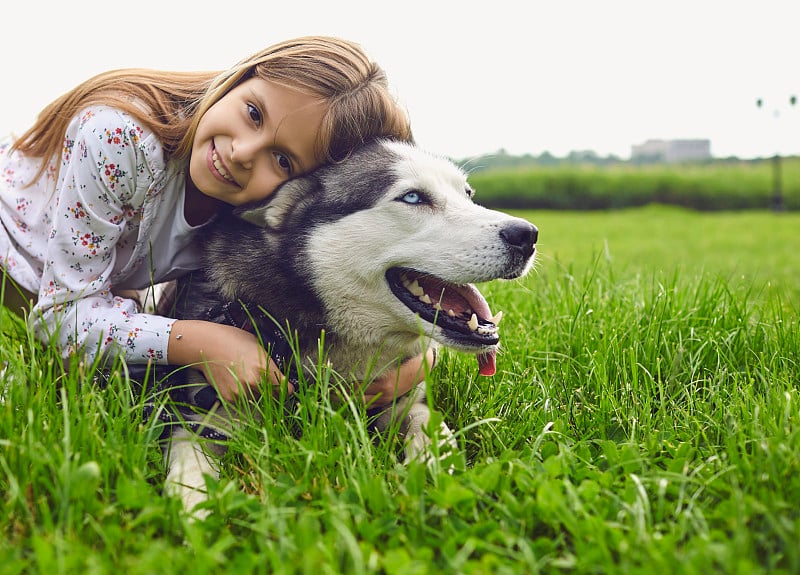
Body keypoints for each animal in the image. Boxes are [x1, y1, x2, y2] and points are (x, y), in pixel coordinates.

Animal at [161, 140, 536, 516]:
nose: (528, 235)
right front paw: (193, 512)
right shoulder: (203, 421)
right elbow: (189, 474)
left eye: (468, 195)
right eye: (413, 197)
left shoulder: (406, 399)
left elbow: (430, 426)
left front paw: (440, 471)